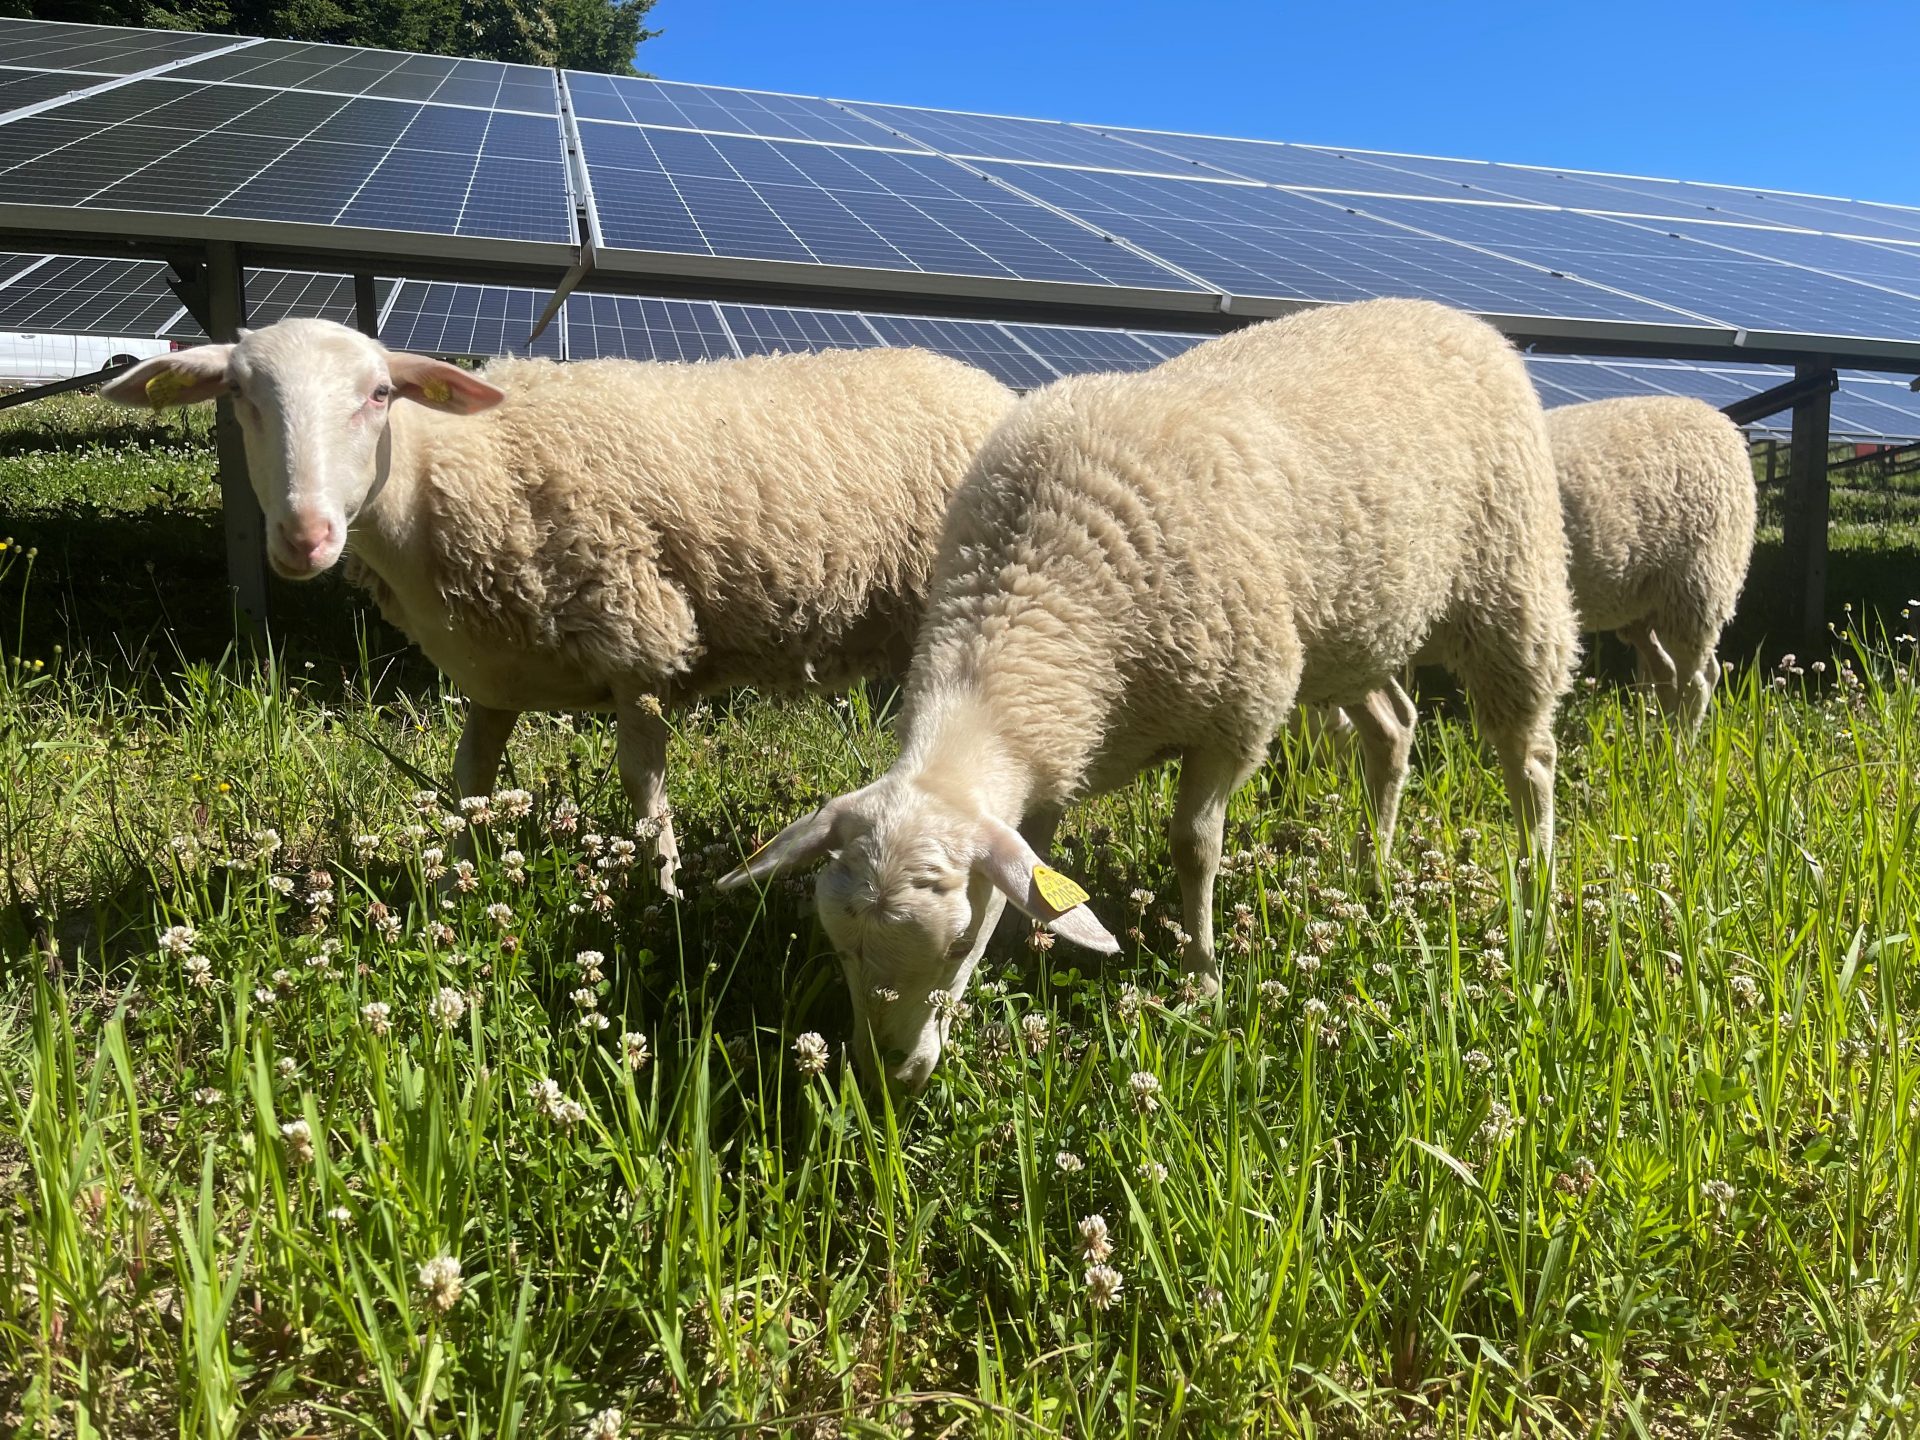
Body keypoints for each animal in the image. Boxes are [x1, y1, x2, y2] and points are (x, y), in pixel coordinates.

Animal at [107, 320, 1013, 898]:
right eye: (240, 395)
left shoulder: (639, 637)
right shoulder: (491, 672)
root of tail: (984, 385)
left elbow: (644, 787)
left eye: (379, 394)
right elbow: (470, 782)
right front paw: (458, 886)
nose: (305, 534)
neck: (448, 471)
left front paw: (664, 892)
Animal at [721, 301, 1574, 1090]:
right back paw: (1374, 864)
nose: (889, 1076)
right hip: (1355, 632)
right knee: (1394, 727)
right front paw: (1031, 946)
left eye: (956, 942)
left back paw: (1536, 884)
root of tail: (1456, 317)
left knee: (1528, 753)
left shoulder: (1237, 713)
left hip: (1510, 580)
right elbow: (1041, 860)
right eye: (839, 945)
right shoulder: (1051, 759)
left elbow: (1194, 849)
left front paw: (1202, 980)